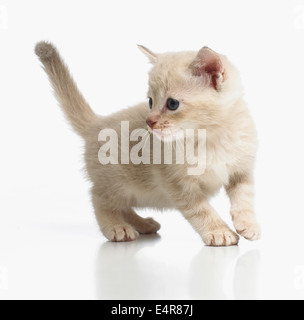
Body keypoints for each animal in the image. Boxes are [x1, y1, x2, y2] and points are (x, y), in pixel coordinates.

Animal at [35, 42, 258, 248]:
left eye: (172, 104)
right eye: (150, 101)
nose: (149, 122)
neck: (212, 137)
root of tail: (97, 123)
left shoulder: (241, 171)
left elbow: (244, 198)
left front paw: (248, 223)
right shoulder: (179, 185)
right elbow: (201, 210)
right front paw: (218, 231)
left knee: (123, 206)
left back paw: (143, 224)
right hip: (117, 182)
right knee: (99, 198)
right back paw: (118, 227)